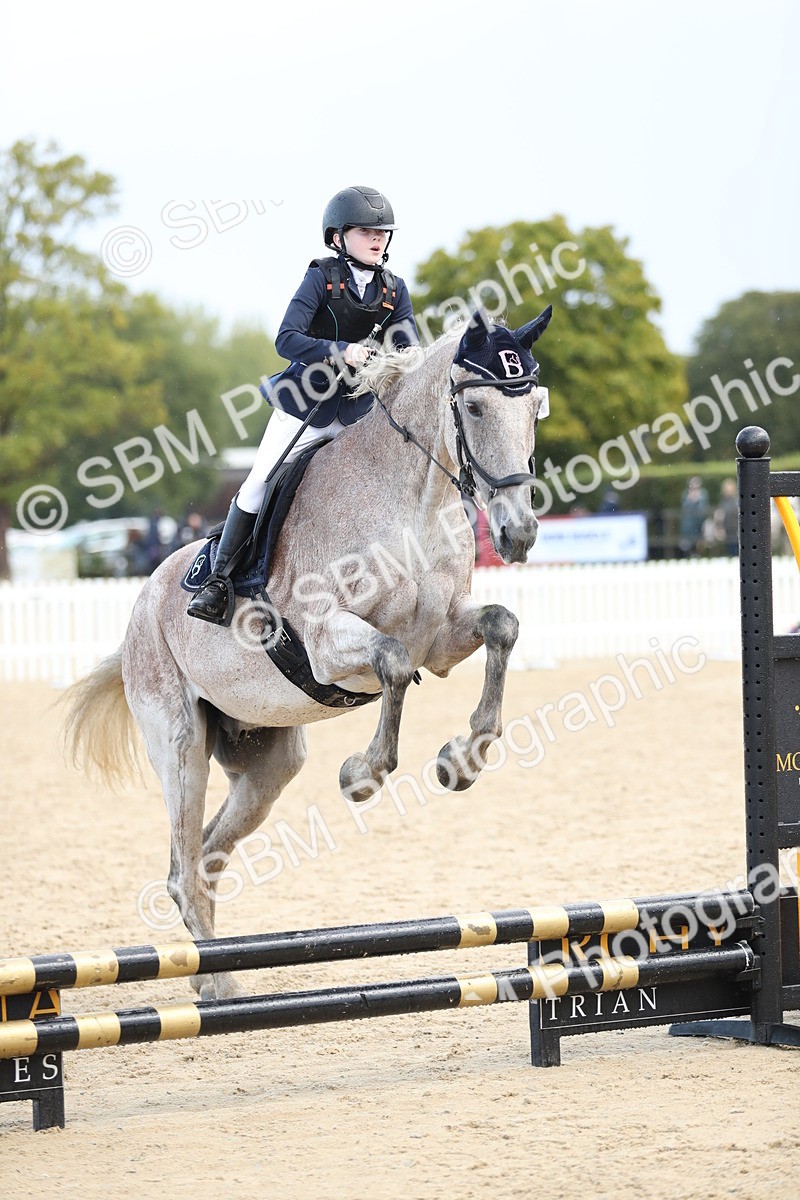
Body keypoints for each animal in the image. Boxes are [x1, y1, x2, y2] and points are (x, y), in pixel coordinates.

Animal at [63, 306, 552, 999]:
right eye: (477, 408)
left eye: (533, 405)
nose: (518, 533)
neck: (412, 503)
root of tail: (139, 610)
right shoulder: (327, 644)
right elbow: (391, 662)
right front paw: (363, 774)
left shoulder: (440, 638)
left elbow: (500, 628)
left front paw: (462, 759)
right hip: (178, 744)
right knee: (183, 867)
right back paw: (218, 989)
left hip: (267, 763)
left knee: (206, 857)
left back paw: (208, 981)